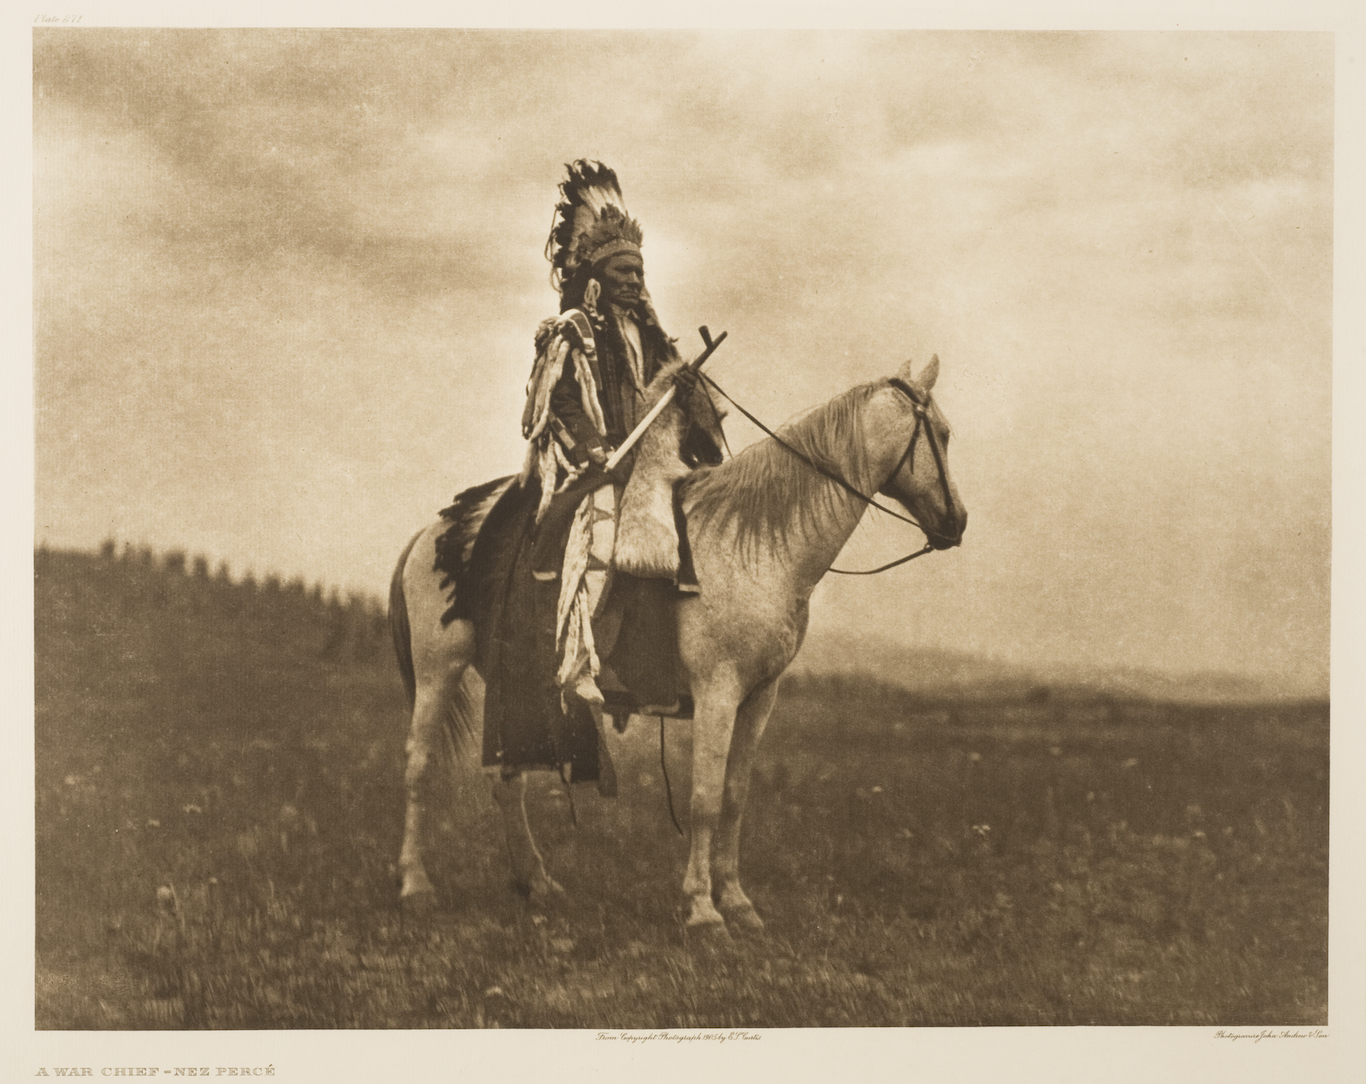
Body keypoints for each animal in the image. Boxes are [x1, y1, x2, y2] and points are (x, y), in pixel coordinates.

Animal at [385, 349, 961, 933]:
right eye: (942, 433)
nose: (955, 523)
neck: (755, 544)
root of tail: (432, 532)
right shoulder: (717, 691)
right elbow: (704, 798)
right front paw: (703, 908)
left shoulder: (759, 698)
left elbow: (734, 798)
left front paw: (737, 901)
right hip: (439, 671)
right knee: (418, 767)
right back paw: (415, 885)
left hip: (514, 685)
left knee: (508, 781)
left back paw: (537, 882)